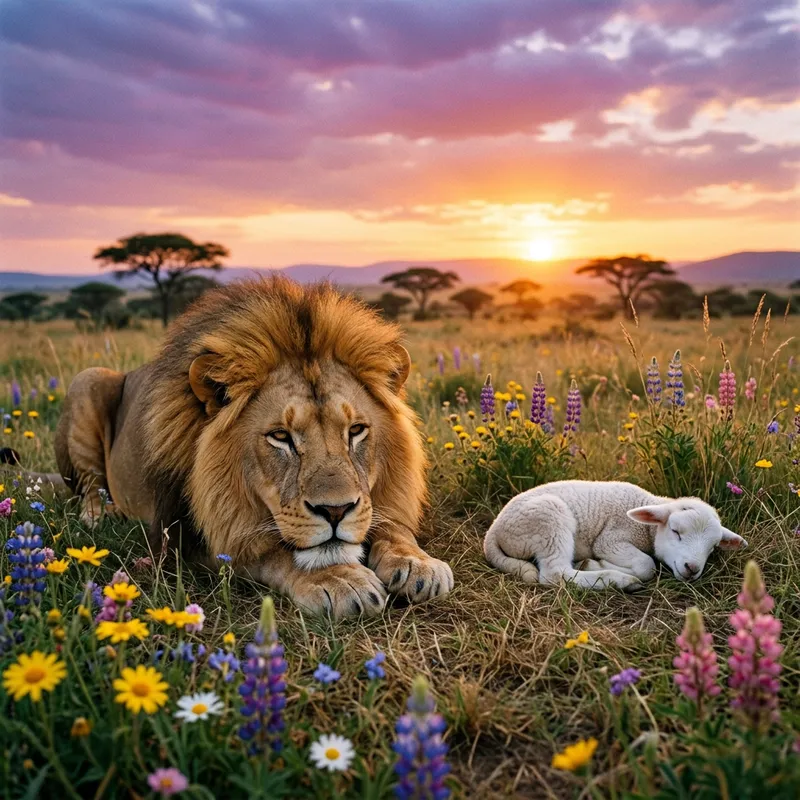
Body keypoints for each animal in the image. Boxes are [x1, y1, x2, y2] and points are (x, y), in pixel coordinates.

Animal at [11, 277, 453, 617]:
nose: (335, 511)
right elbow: (269, 552)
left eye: (357, 431)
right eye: (281, 437)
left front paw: (417, 562)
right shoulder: (185, 538)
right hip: (87, 380)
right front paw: (339, 578)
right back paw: (98, 514)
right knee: (88, 485)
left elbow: (392, 525)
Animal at [483, 480, 747, 591]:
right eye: (675, 532)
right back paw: (619, 580)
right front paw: (600, 565)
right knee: (555, 574)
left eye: (712, 547)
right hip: (549, 520)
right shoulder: (611, 539)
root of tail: (493, 530)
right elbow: (646, 565)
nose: (692, 568)